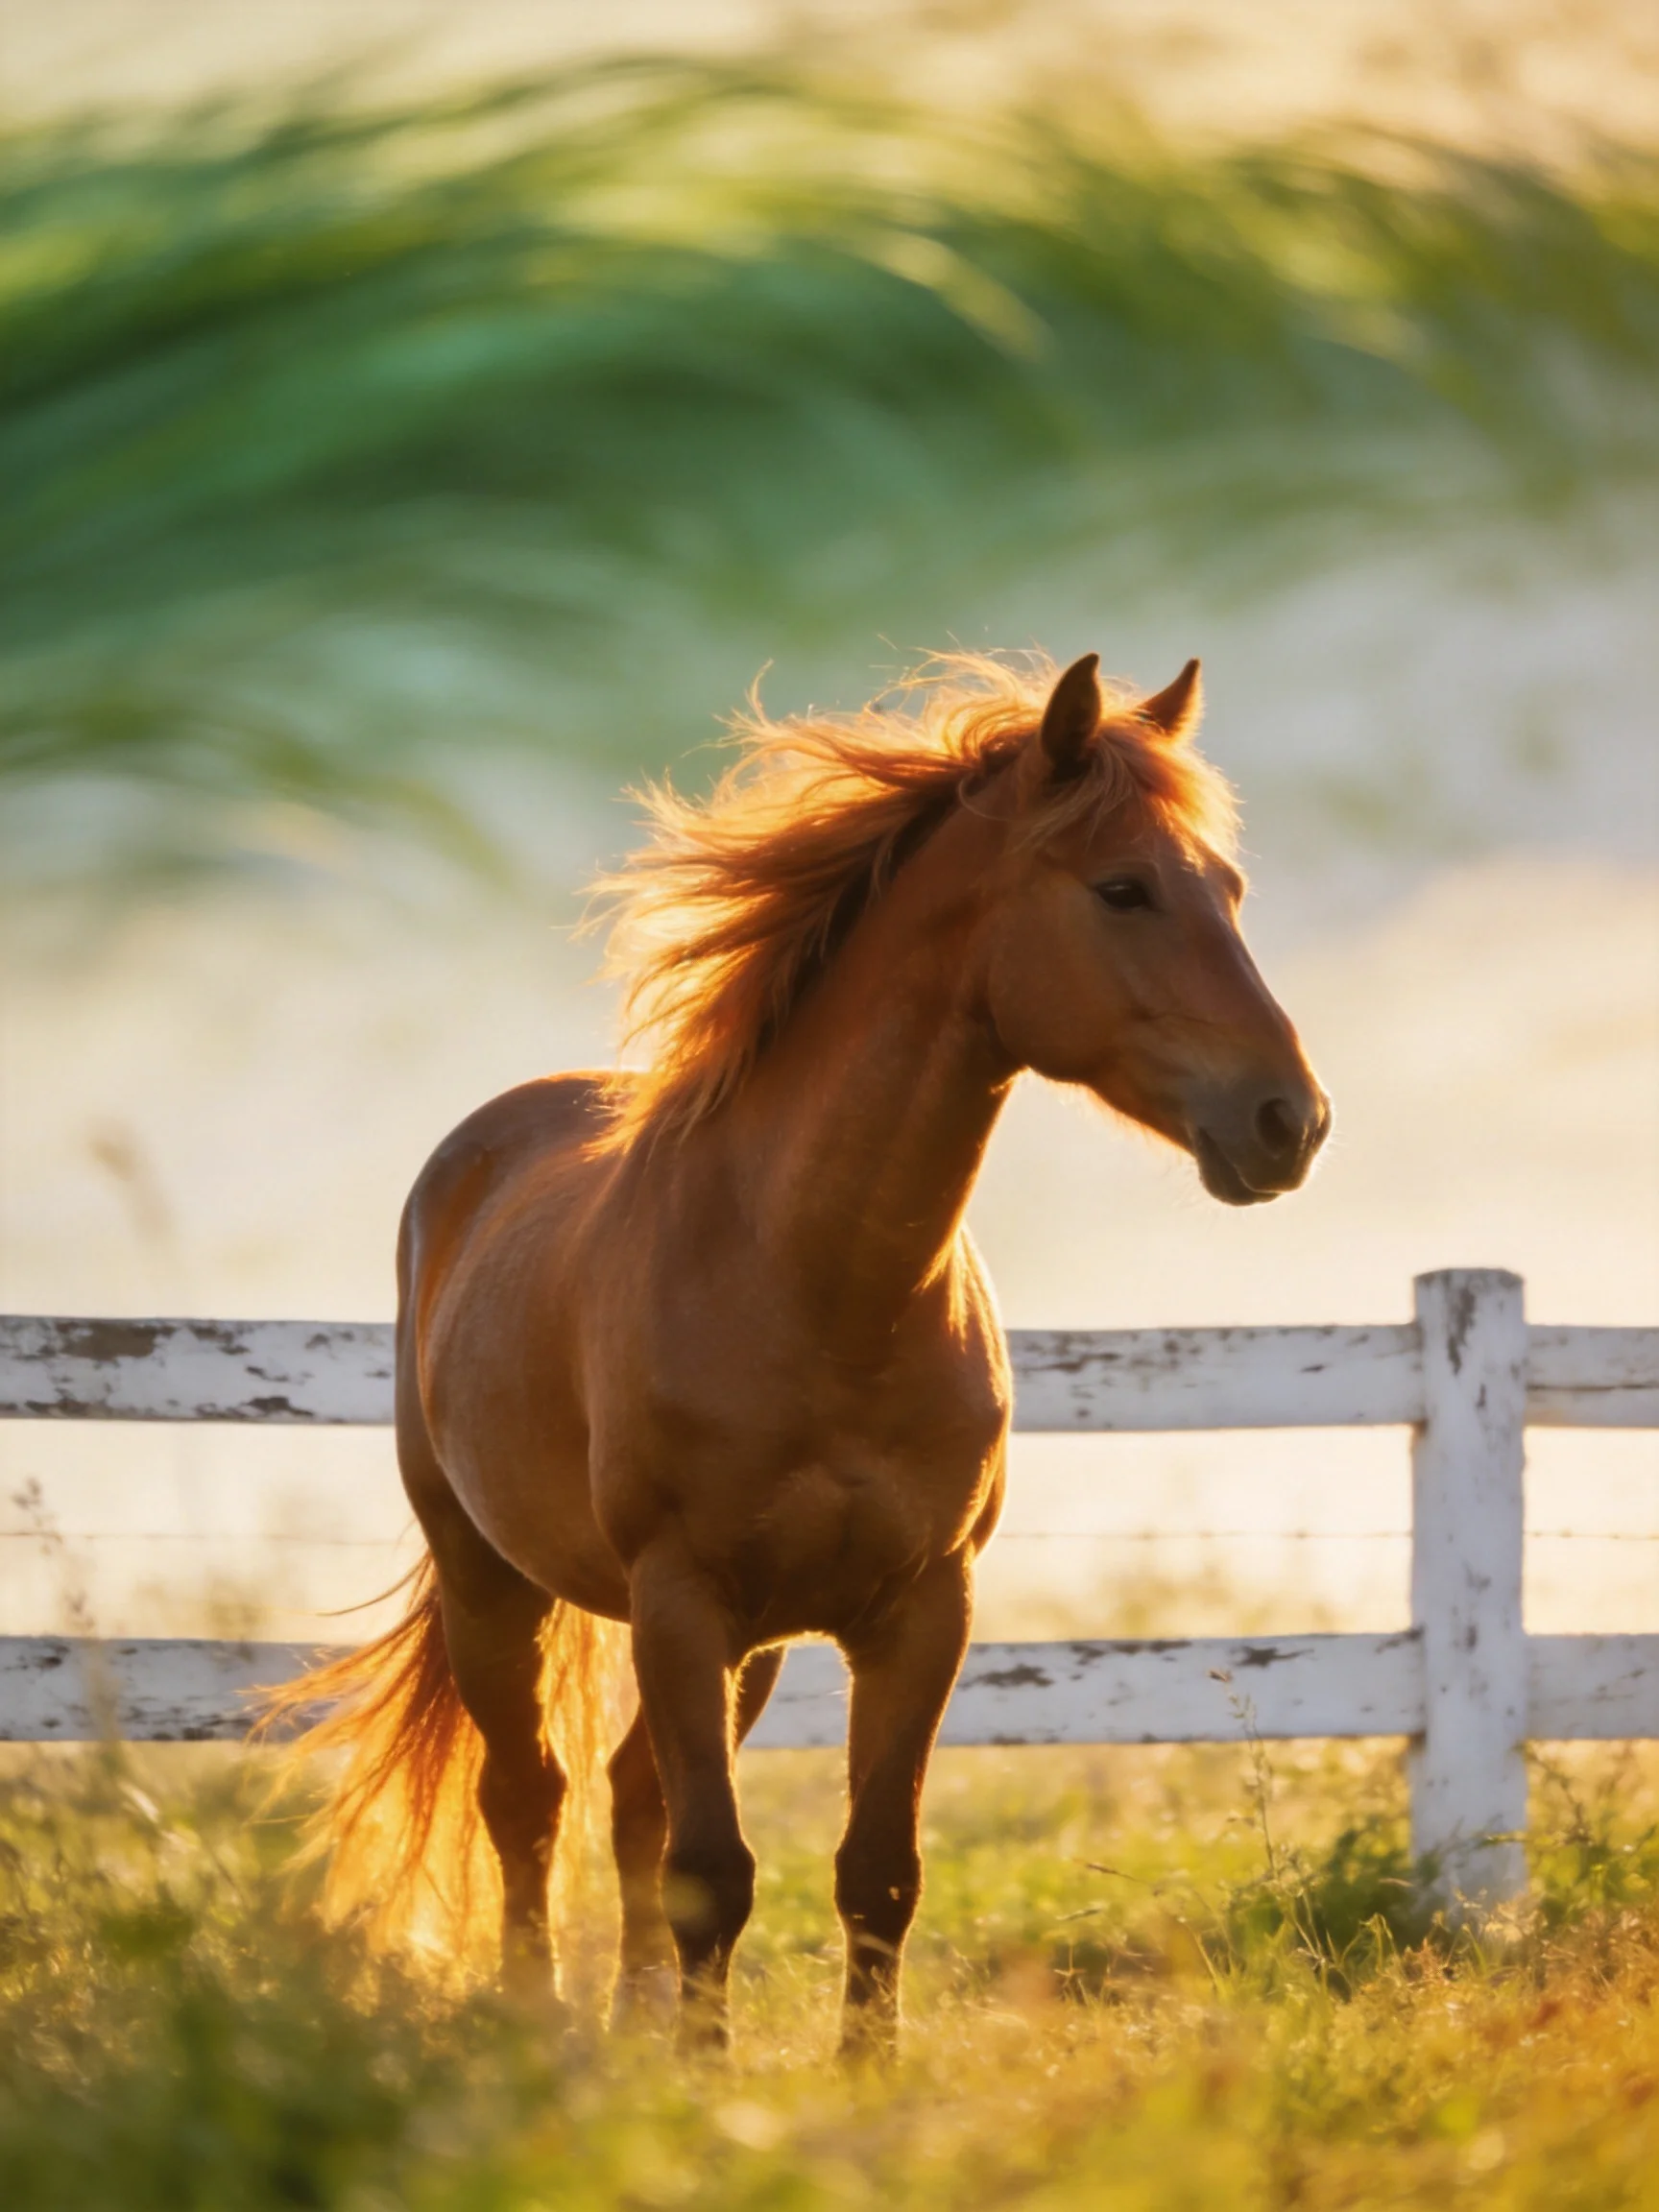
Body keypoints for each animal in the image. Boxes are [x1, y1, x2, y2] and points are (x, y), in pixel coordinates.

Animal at [282, 648, 1328, 2053]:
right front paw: (708, 2074)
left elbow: (875, 1869)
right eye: (1124, 888)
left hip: (750, 1645)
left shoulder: (919, 1610)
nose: (1289, 1121)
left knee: (627, 1796)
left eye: (1229, 889)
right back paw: (538, 2017)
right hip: (491, 1580)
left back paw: (627, 2026)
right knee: (530, 1797)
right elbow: (713, 1871)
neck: (821, 1289)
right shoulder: (683, 1600)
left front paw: (849, 2070)